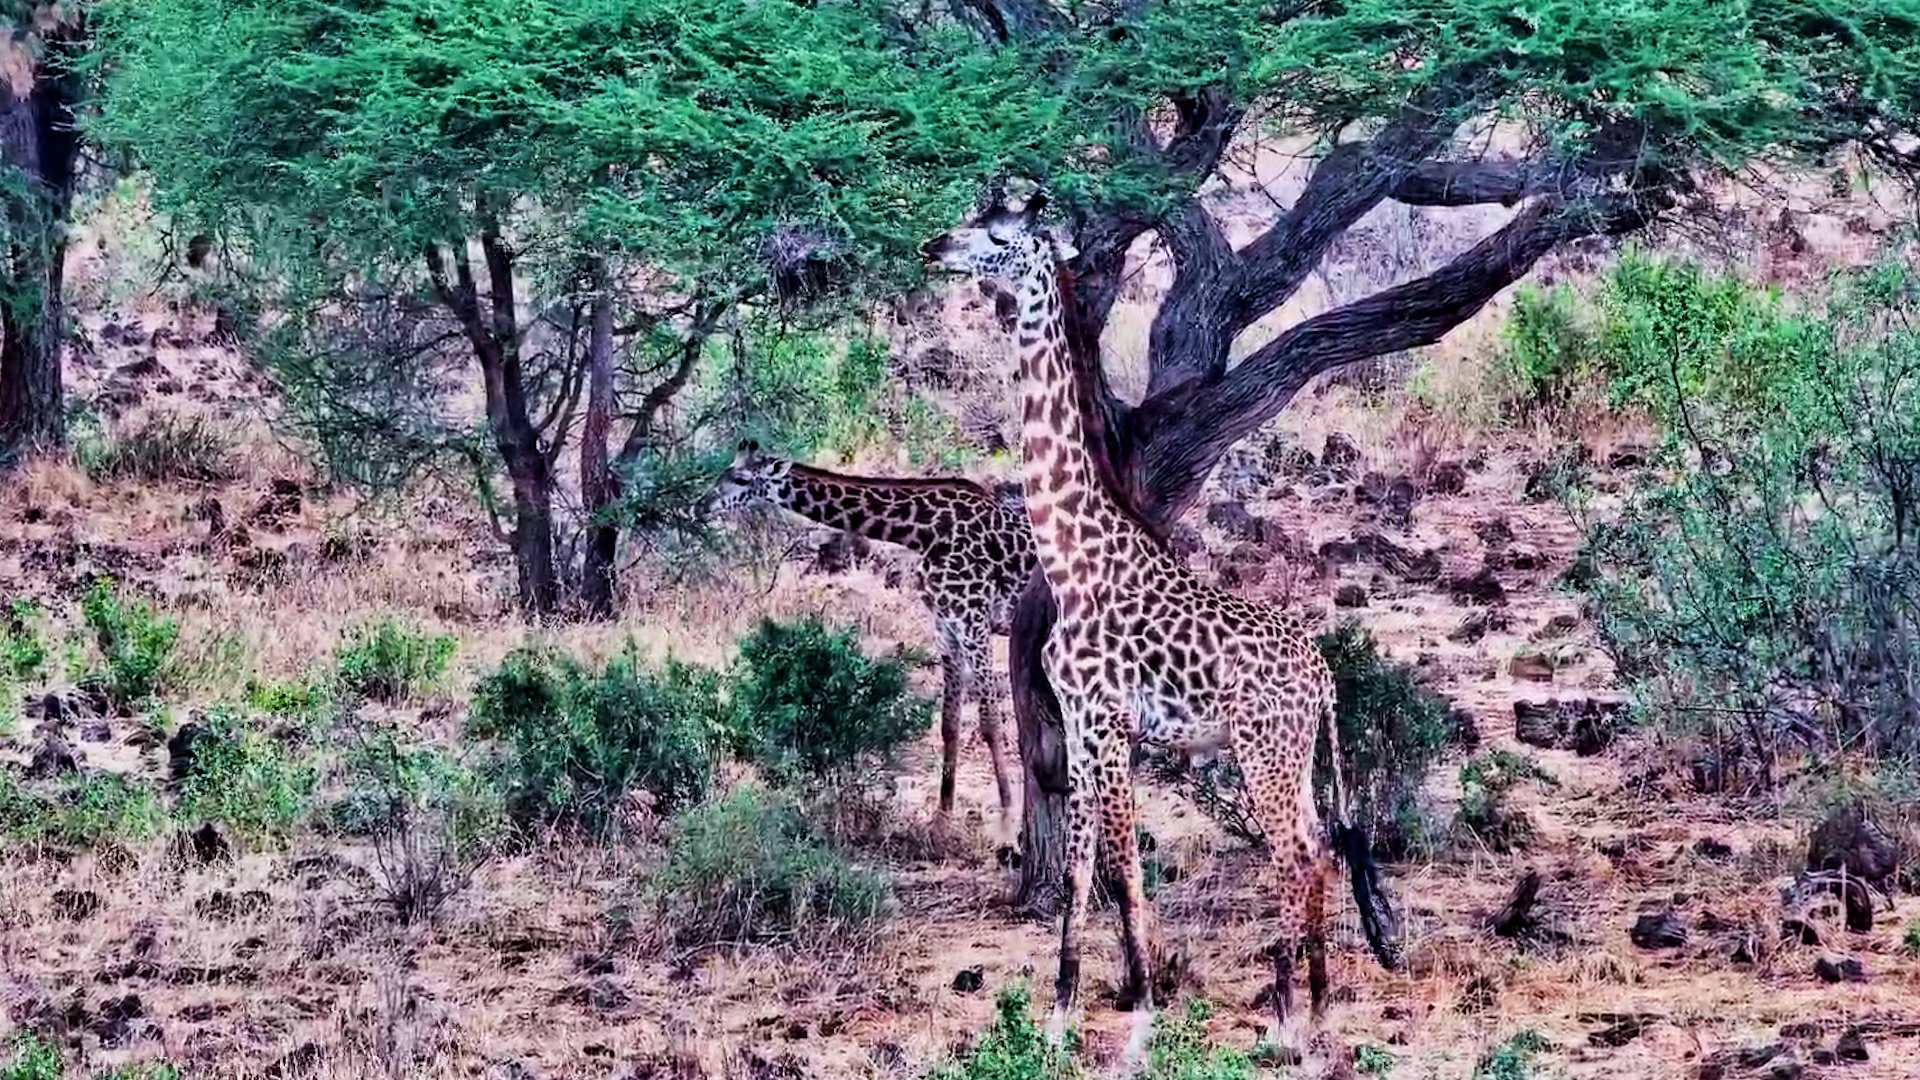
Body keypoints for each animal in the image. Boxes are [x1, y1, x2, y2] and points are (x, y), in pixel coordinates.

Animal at [701, 440, 1036, 841]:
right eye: (722, 472)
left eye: (741, 479)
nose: (701, 505)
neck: (922, 532)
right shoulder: (946, 629)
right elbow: (949, 724)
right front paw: (941, 819)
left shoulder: (974, 621)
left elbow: (989, 721)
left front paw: (1007, 820)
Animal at [921, 192, 1401, 1066]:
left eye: (1000, 233)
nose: (935, 245)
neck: (1073, 557)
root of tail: (1324, 675)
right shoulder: (1081, 728)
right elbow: (1078, 871)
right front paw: (1059, 1019)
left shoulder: (1110, 726)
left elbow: (1123, 870)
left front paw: (1141, 1021)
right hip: (1293, 754)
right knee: (1318, 845)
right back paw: (1310, 1007)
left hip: (1262, 753)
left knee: (1299, 853)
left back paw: (1297, 1023)